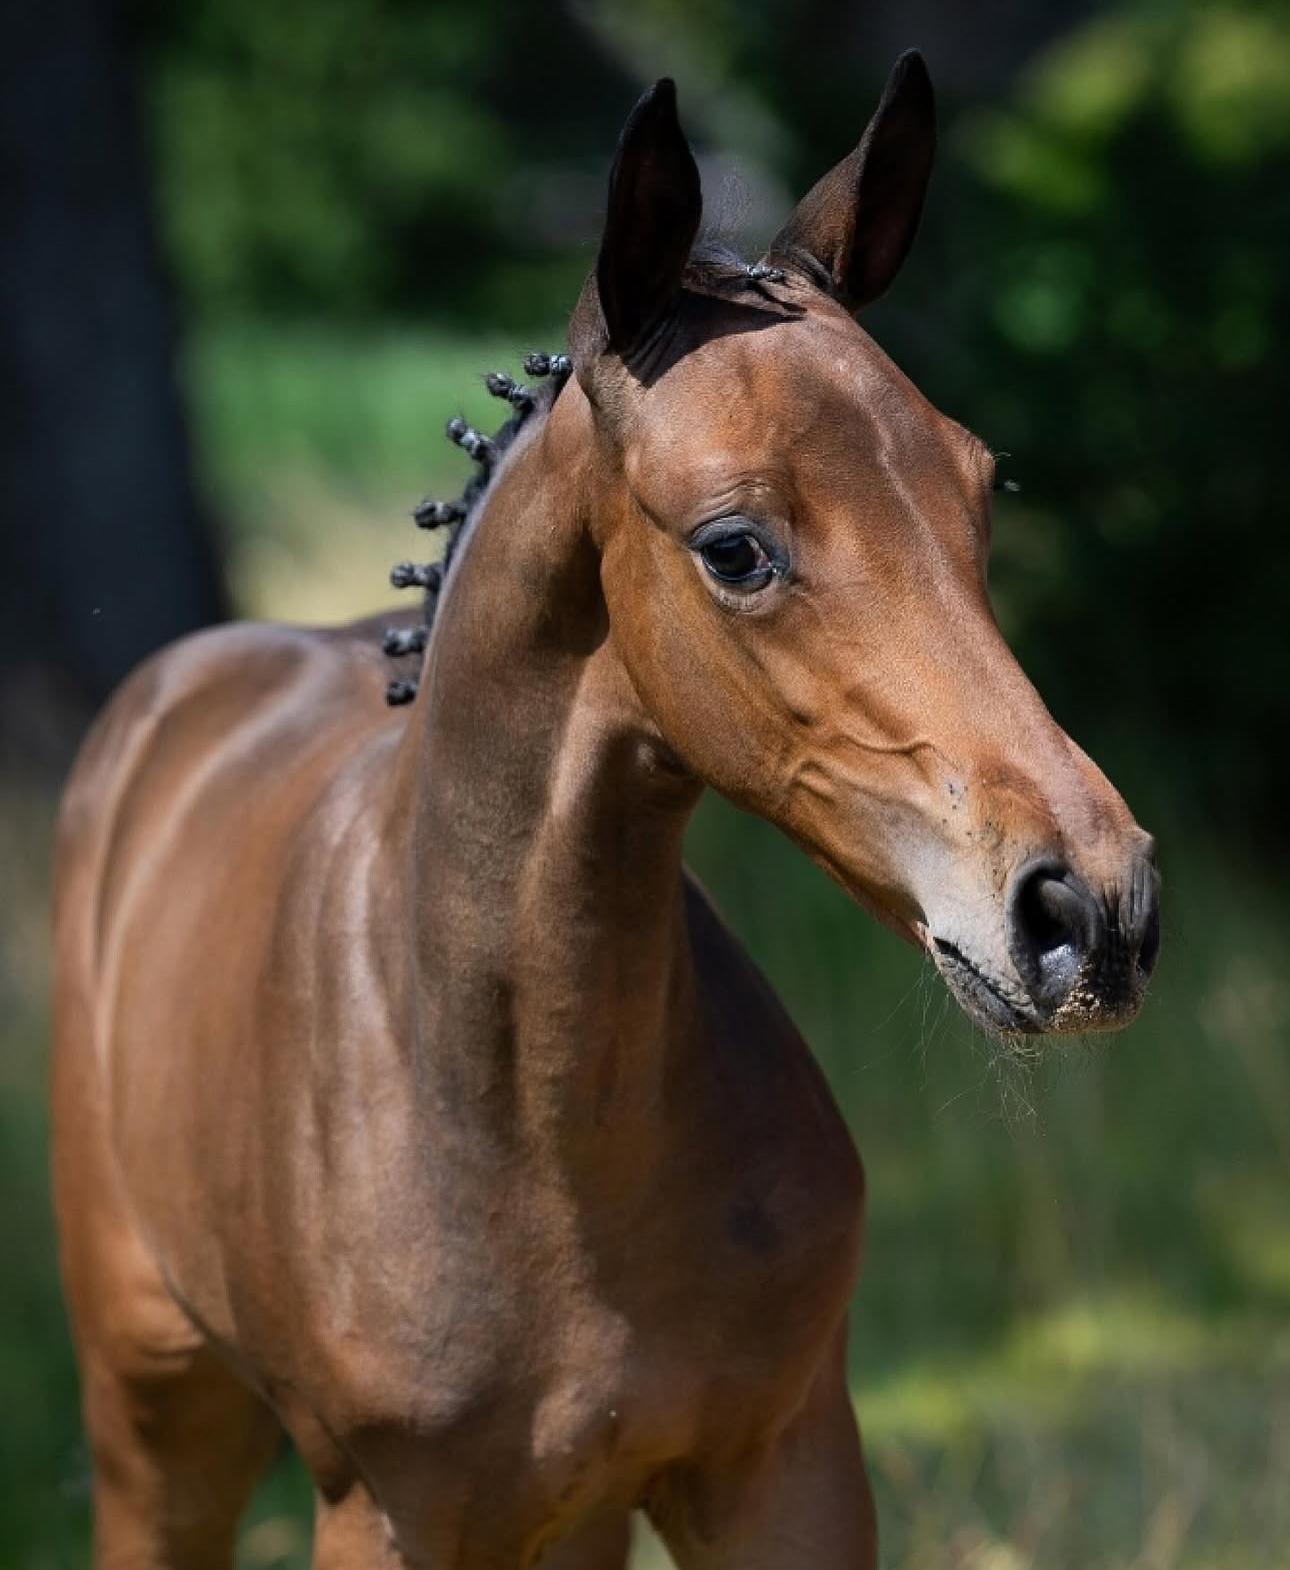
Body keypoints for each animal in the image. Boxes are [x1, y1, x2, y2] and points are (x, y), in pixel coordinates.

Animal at [51, 53, 1159, 1570]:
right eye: (734, 548)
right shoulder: (383, 1512)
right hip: (156, 1418)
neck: (529, 1128)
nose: (1089, 907)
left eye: (979, 487)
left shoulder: (783, 1466)